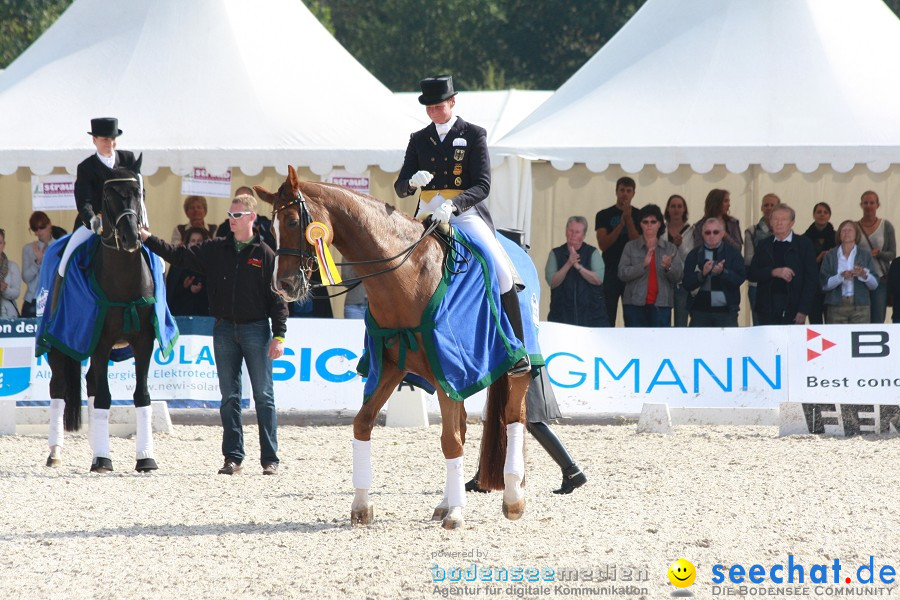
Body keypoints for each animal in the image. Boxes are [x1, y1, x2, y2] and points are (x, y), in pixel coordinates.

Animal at [45, 161, 160, 474]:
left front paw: (145, 458)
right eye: (108, 196)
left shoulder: (143, 342)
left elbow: (141, 395)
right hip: (56, 344)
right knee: (59, 387)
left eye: (138, 192)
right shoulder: (100, 340)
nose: (132, 237)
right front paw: (103, 460)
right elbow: (106, 398)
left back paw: (96, 445)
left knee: (92, 383)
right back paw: (56, 452)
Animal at [253, 165, 532, 528]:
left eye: (290, 221)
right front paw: (361, 506)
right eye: (270, 227)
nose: (282, 286)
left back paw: (512, 496)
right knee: (462, 427)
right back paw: (446, 501)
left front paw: (457, 514)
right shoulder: (391, 367)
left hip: (512, 364)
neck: (408, 274)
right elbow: (363, 424)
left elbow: (450, 442)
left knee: (514, 415)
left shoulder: (450, 366)